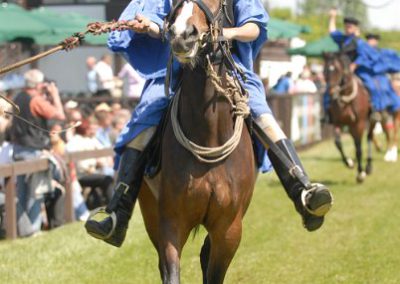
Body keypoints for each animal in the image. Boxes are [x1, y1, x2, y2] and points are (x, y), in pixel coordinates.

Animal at [322, 52, 376, 182]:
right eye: (324, 71)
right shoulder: (337, 123)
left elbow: (359, 148)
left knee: (369, 137)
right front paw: (349, 163)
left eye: (337, 70)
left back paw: (368, 167)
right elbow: (338, 143)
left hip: (370, 121)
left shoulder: (359, 124)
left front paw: (360, 173)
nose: (331, 92)